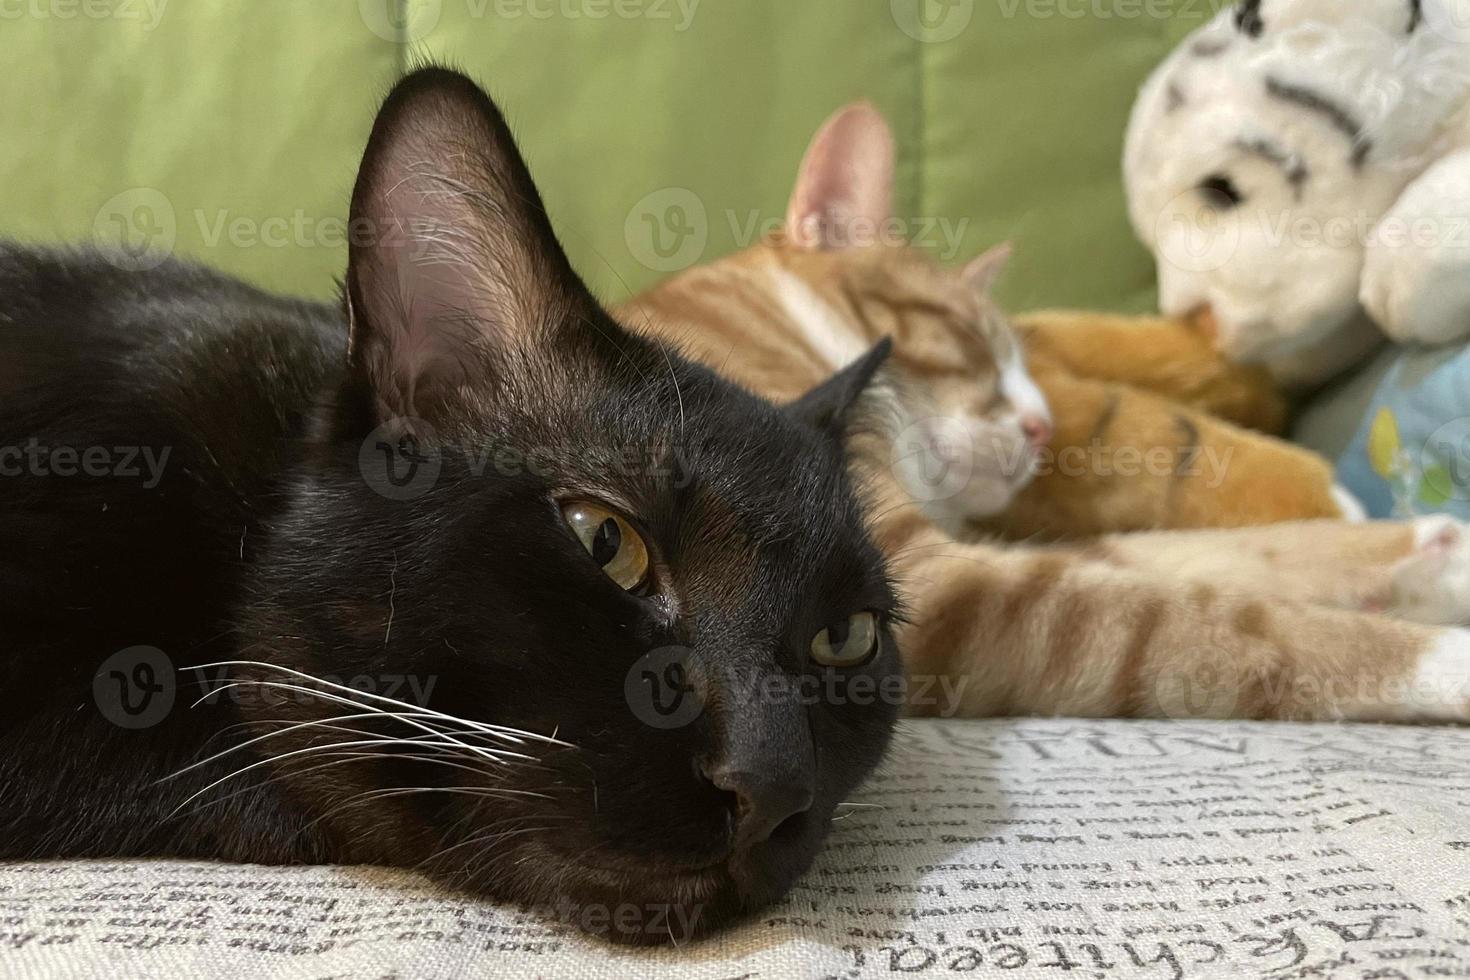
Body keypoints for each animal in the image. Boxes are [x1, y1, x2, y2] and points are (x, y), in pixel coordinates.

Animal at [620, 103, 1470, 725]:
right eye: (973, 339)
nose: (1044, 429)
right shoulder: (946, 587)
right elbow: (1224, 622)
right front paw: (1445, 654)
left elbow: (1207, 559)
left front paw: (1437, 560)